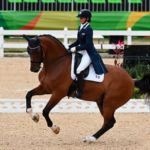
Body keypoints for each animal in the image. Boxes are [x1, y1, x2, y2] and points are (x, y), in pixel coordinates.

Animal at [22, 34, 150, 144]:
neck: (57, 63)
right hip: (102, 102)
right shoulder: (46, 88)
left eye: (38, 51)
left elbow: (45, 111)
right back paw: (91, 138)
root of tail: (131, 80)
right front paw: (34, 116)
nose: (34, 69)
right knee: (110, 122)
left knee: (108, 122)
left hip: (110, 103)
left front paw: (55, 128)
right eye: (28, 51)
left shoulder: (58, 93)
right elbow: (28, 94)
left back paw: (89, 138)